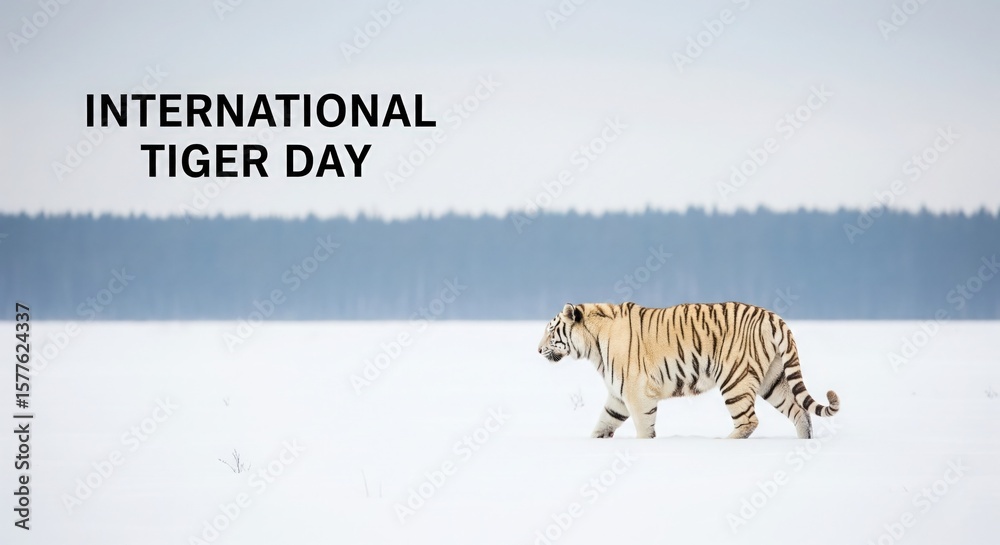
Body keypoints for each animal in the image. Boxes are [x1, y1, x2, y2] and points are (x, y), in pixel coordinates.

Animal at [537, 302, 839, 439]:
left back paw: (723, 442)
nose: (538, 350)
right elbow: (603, 423)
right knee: (800, 412)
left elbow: (644, 429)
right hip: (773, 380)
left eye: (551, 331)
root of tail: (774, 318)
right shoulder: (617, 397)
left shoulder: (638, 395)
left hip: (736, 380)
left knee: (749, 420)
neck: (593, 346)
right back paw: (804, 442)